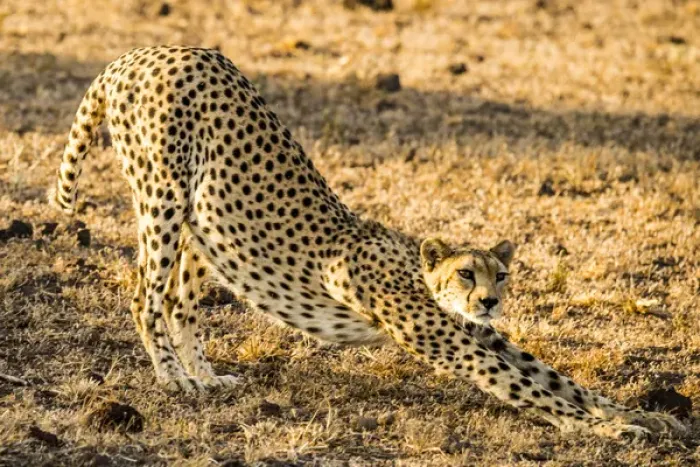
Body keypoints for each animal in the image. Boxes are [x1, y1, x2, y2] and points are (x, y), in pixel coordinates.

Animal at [48, 46, 685, 439]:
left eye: (500, 275)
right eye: (466, 273)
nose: (489, 301)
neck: (424, 275)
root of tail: (143, 53)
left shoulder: (483, 337)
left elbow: (559, 379)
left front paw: (645, 417)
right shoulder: (460, 344)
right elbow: (535, 391)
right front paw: (611, 429)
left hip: (205, 223)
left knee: (180, 302)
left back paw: (205, 377)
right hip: (163, 196)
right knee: (144, 296)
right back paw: (174, 379)